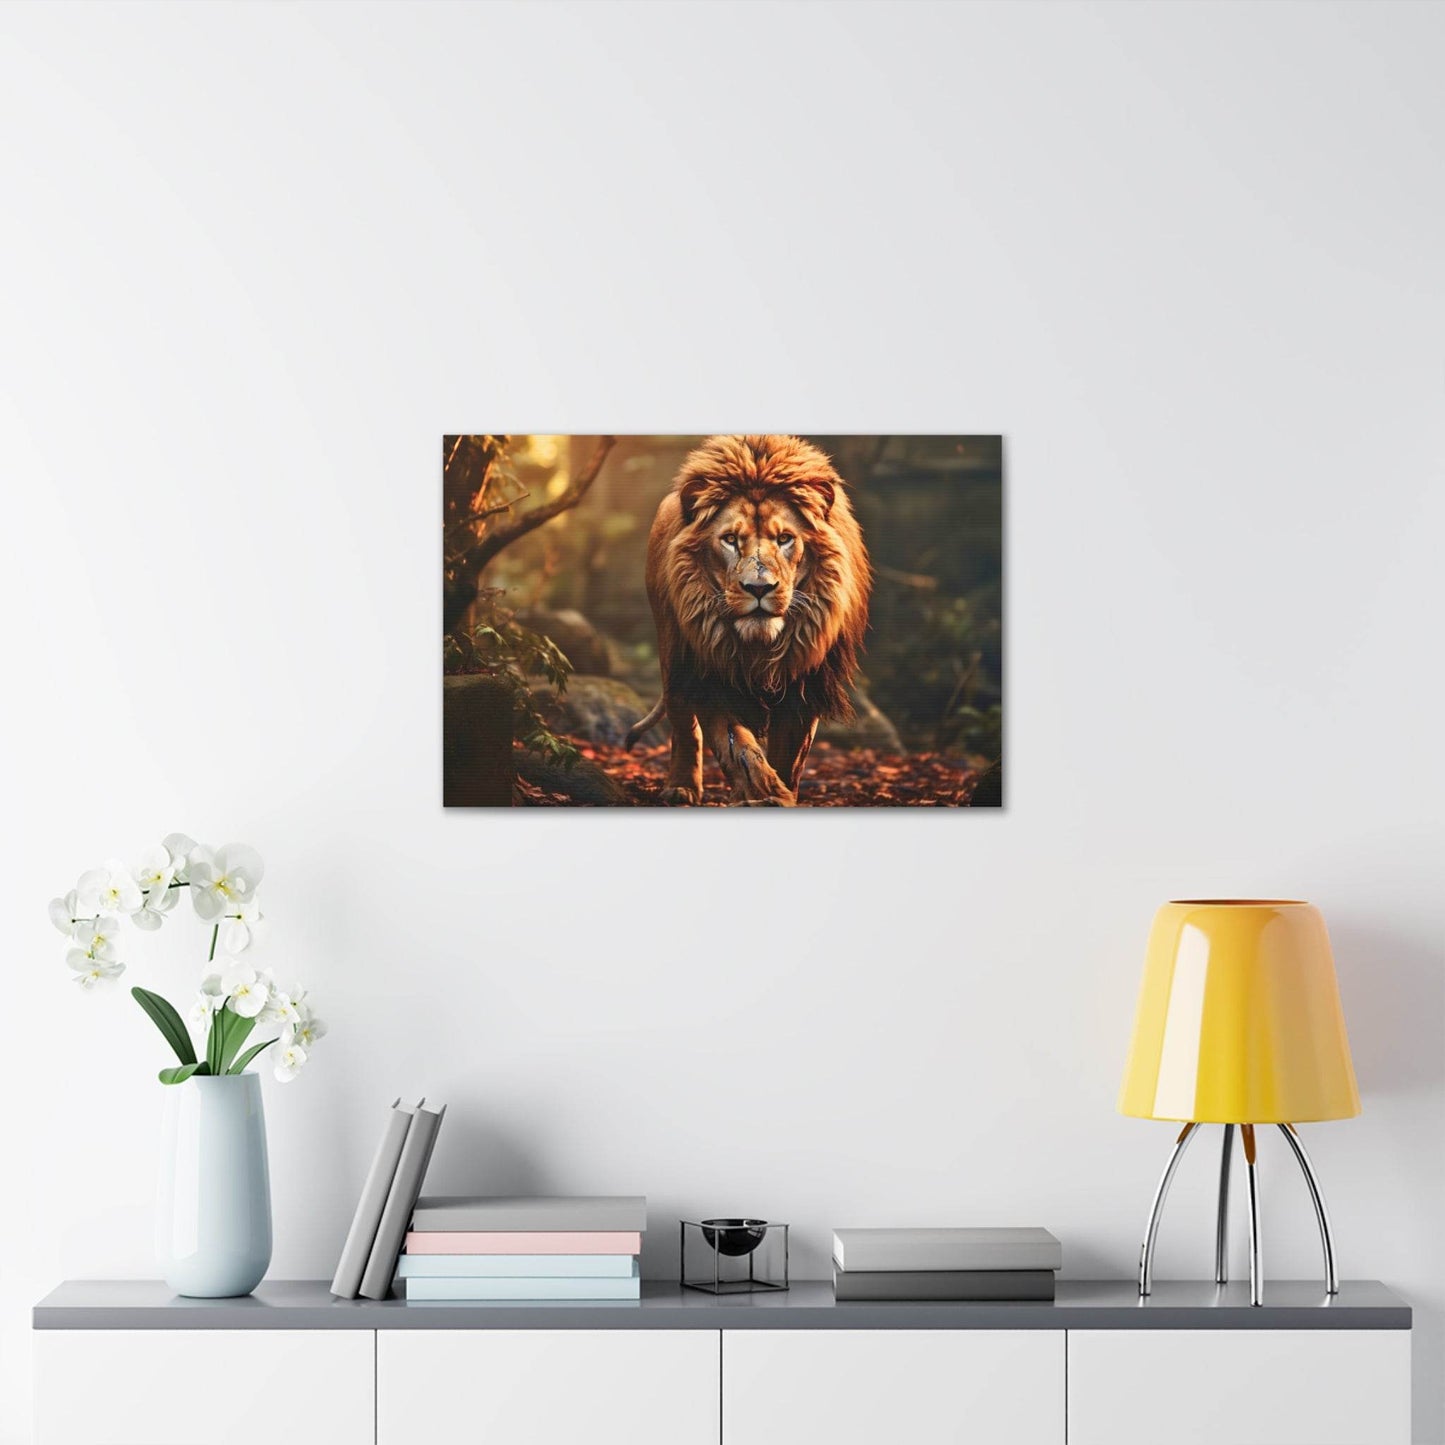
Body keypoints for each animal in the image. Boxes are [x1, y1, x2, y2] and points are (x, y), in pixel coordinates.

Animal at [625, 434, 871, 806]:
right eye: (730, 539)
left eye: (784, 539)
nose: (759, 587)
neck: (760, 647)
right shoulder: (709, 672)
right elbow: (737, 746)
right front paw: (760, 792)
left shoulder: (805, 682)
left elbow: (789, 756)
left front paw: (781, 795)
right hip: (673, 650)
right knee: (683, 723)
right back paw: (680, 787)